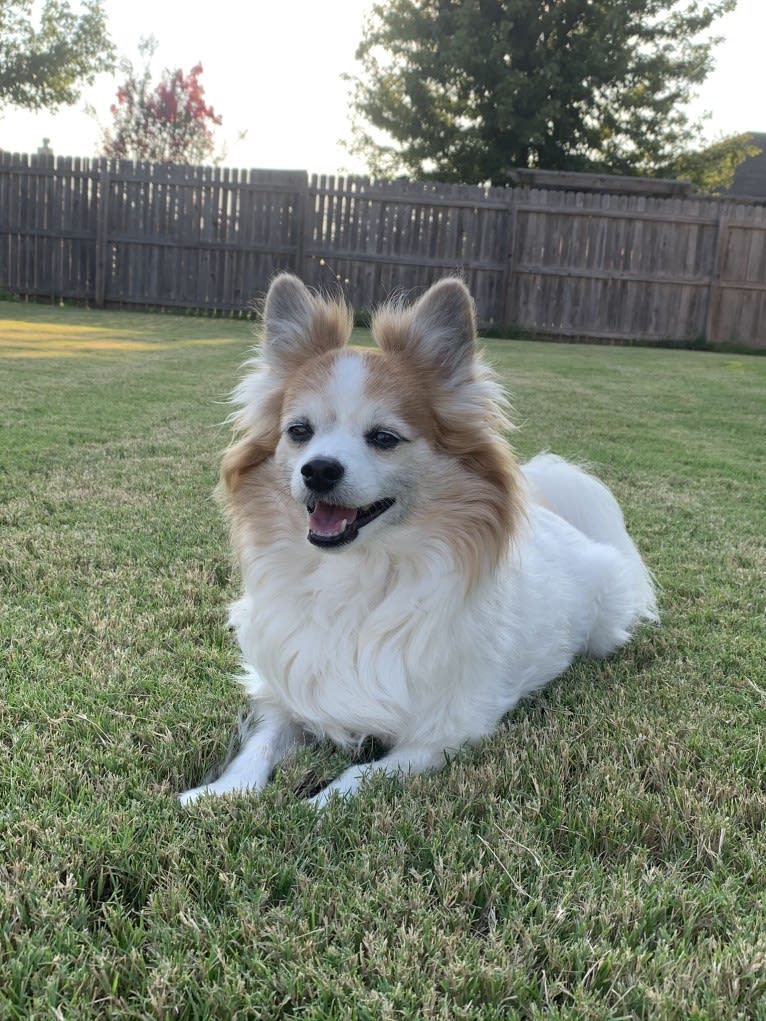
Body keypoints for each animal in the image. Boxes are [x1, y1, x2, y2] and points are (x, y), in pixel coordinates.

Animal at [176, 275, 657, 808]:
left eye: (384, 438)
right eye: (299, 432)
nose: (318, 469)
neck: (356, 572)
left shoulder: (444, 735)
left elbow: (360, 775)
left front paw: (315, 806)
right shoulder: (289, 694)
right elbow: (258, 746)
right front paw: (221, 793)